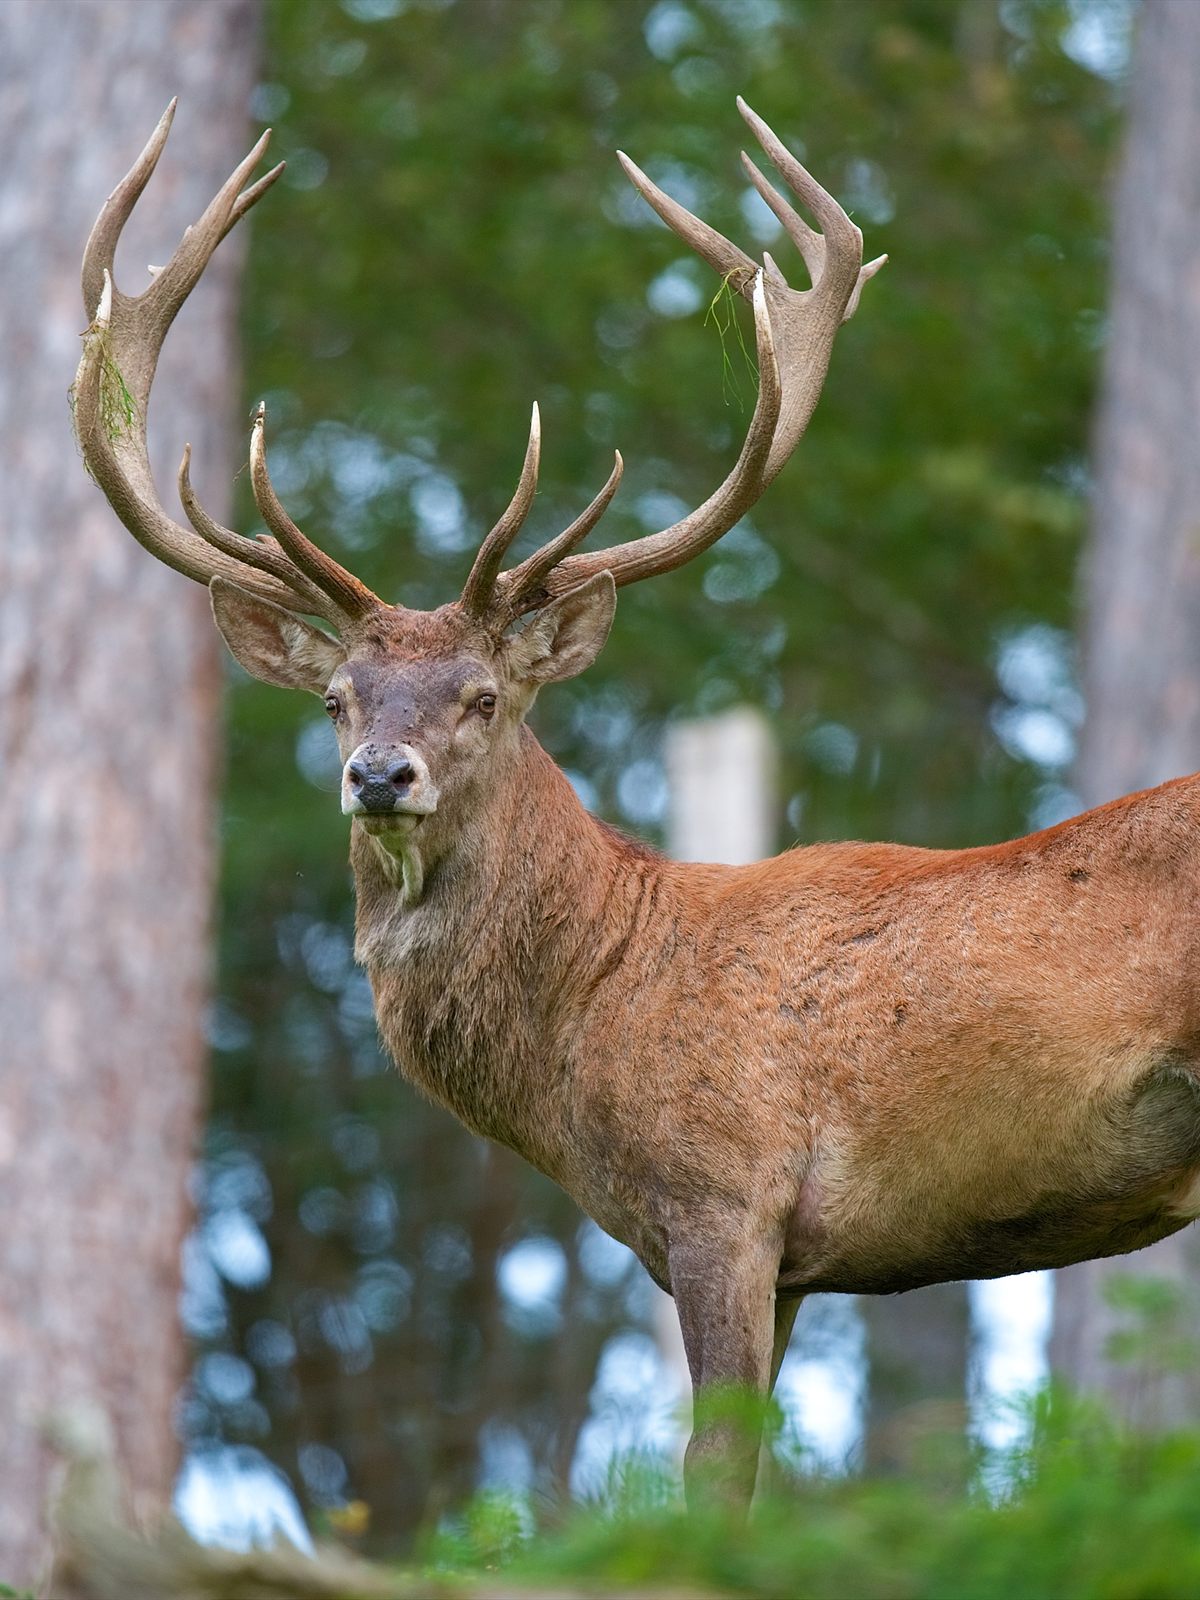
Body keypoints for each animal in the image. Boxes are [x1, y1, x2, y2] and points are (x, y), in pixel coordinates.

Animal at [75, 97, 1200, 1512]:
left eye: (485, 694)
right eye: (336, 695)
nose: (380, 774)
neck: (596, 1015)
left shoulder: (726, 1194)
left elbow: (712, 1486)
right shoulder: (789, 1259)